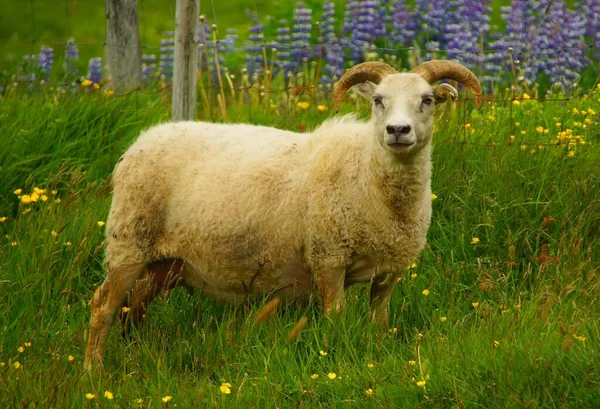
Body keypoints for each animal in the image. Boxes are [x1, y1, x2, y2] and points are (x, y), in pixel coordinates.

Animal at [84, 59, 482, 368]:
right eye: (378, 101)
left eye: (427, 100)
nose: (398, 130)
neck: (367, 172)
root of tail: (140, 142)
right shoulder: (328, 257)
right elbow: (335, 317)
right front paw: (337, 357)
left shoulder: (390, 269)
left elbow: (380, 320)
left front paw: (377, 353)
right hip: (129, 241)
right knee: (104, 305)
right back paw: (95, 370)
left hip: (167, 261)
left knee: (136, 305)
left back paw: (138, 352)